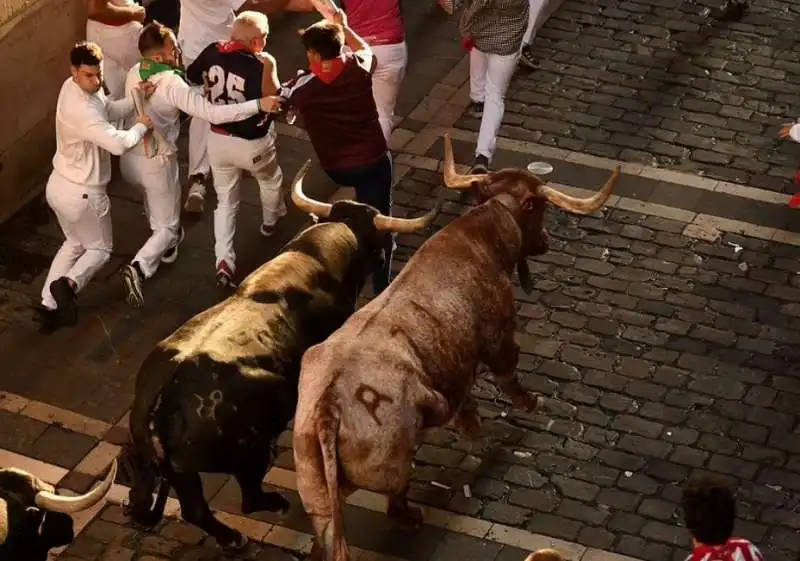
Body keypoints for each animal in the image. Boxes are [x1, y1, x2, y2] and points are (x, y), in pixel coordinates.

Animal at [290, 135, 620, 560]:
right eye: (539, 207)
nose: (546, 241)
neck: (483, 236)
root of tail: (329, 408)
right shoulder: (499, 342)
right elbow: (508, 381)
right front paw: (527, 408)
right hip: (394, 461)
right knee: (396, 500)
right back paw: (413, 513)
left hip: (316, 494)